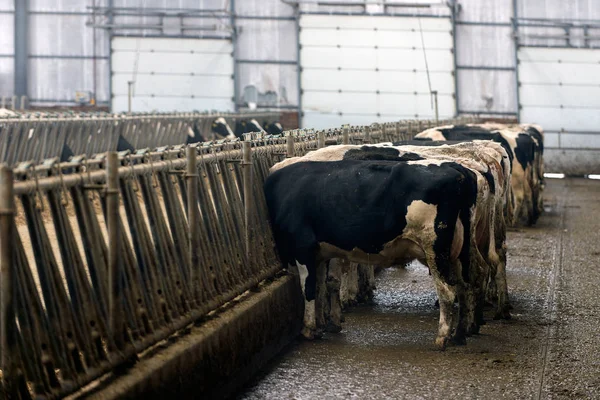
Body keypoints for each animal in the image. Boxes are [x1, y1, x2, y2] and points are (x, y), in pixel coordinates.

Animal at [266, 150, 478, 346]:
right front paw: (320, 325)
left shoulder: (303, 247)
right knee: (465, 287)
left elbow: (308, 288)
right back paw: (460, 334)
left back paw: (442, 338)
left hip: (434, 248)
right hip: (459, 252)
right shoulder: (319, 253)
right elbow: (320, 287)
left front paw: (309, 329)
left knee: (448, 292)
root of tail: (455, 167)